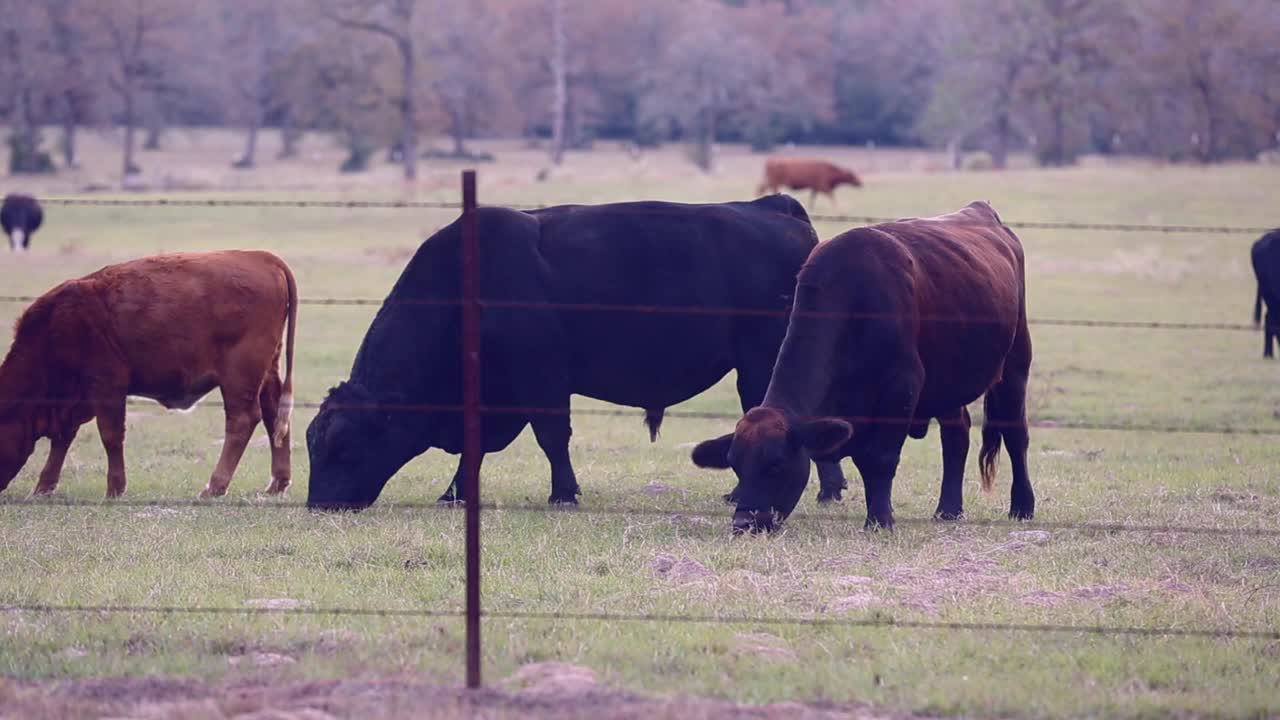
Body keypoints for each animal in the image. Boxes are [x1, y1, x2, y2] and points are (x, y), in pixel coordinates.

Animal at [0, 249, 296, 497]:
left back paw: (214, 487)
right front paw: (43, 487)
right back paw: (276, 483)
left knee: (242, 420)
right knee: (273, 414)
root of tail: (263, 258)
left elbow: (110, 436)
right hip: (267, 373)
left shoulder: (107, 388)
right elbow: (63, 438)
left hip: (238, 378)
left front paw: (114, 489)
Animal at [304, 196, 849, 507]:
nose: (318, 504)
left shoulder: (541, 375)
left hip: (761, 360)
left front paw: (563, 493)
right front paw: (454, 494)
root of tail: (773, 207)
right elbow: (478, 447)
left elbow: (552, 437)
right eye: (314, 443)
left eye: (342, 444)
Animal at [696, 198, 1034, 530]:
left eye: (776, 465)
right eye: (736, 467)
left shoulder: (901, 387)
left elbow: (880, 458)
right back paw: (949, 509)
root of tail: (981, 210)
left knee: (1015, 435)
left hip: (1015, 366)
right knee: (956, 436)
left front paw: (880, 519)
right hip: (948, 381)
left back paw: (1022, 506)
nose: (743, 522)